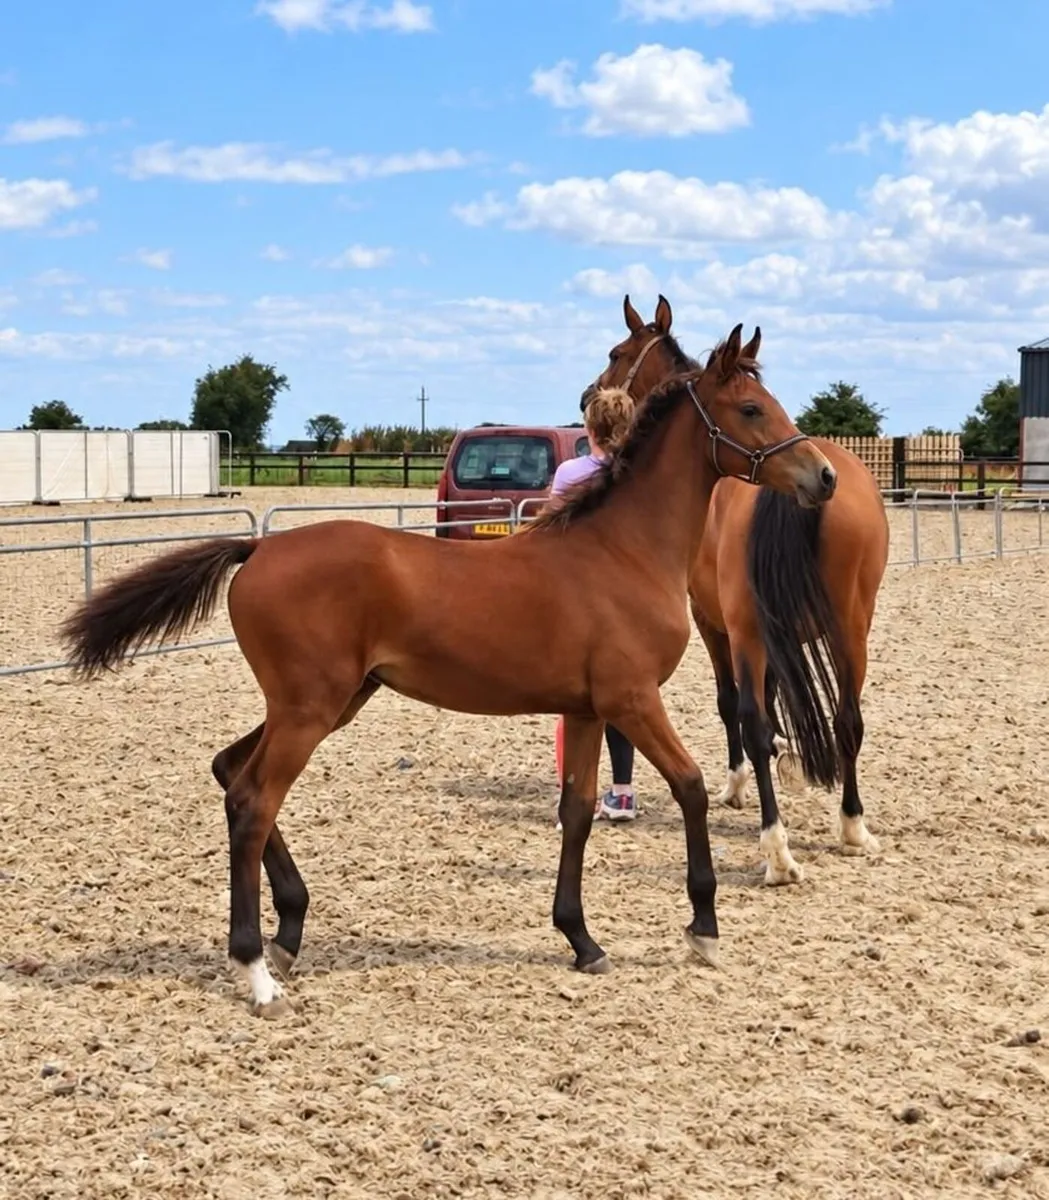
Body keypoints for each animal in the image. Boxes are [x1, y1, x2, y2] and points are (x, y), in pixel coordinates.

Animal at [59, 326, 837, 1018]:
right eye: (750, 408)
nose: (822, 476)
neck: (620, 549)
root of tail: (257, 549)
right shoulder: (632, 700)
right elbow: (691, 788)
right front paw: (704, 929)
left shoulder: (586, 709)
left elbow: (578, 812)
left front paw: (581, 940)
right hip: (310, 710)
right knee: (253, 802)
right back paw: (257, 972)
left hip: (328, 702)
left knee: (229, 772)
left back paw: (288, 932)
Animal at [583, 295, 888, 885]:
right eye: (755, 405)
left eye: (616, 352)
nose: (589, 394)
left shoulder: (714, 622)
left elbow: (735, 707)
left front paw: (739, 785)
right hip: (851, 629)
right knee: (848, 719)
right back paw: (853, 826)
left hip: (749, 630)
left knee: (752, 720)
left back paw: (777, 850)